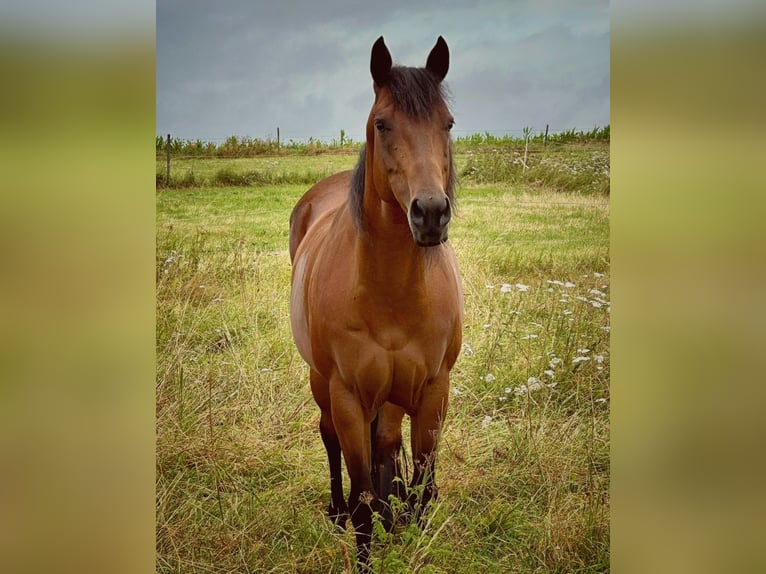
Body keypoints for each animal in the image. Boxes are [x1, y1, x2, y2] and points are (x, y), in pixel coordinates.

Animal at [288, 36, 463, 568]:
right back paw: (337, 511)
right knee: (329, 439)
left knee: (385, 442)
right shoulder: (347, 395)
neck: (392, 295)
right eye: (383, 123)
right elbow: (363, 491)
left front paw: (412, 534)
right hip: (321, 381)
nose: (431, 213)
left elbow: (422, 484)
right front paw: (365, 540)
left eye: (448, 122)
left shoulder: (433, 390)